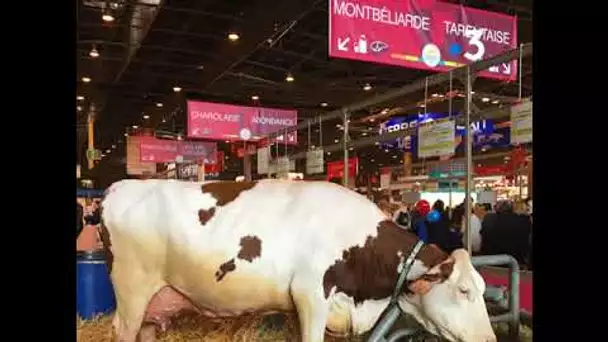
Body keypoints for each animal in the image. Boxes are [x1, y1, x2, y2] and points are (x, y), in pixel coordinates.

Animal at [100, 180, 496, 340]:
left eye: (482, 288)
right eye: (463, 291)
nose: (489, 339)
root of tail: (118, 187)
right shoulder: (310, 295)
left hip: (155, 298)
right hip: (131, 289)